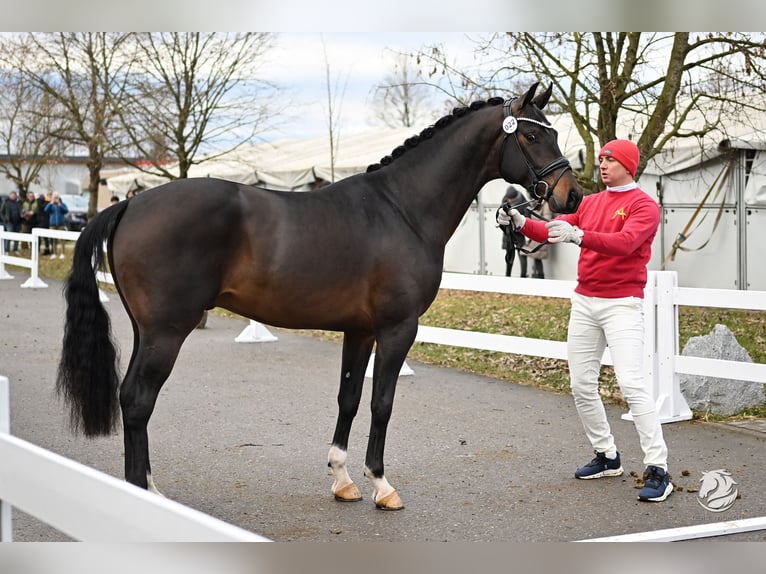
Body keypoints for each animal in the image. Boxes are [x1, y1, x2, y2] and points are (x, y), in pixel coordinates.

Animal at [55, 82, 584, 512]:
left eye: (555, 134)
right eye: (532, 136)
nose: (571, 198)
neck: (402, 208)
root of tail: (129, 204)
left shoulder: (361, 330)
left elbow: (349, 399)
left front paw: (343, 481)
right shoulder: (397, 328)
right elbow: (382, 402)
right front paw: (382, 486)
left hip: (147, 330)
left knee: (131, 398)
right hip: (167, 332)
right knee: (138, 400)